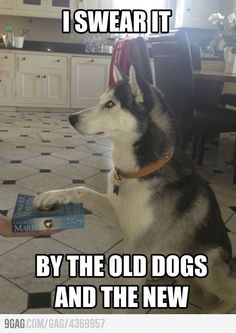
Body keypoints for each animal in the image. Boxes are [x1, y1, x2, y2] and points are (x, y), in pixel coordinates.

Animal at [33, 66, 236, 312]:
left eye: (110, 104)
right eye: (101, 100)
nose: (71, 117)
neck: (140, 170)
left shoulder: (140, 248)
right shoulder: (118, 211)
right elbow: (81, 189)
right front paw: (49, 197)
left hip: (209, 263)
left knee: (231, 295)